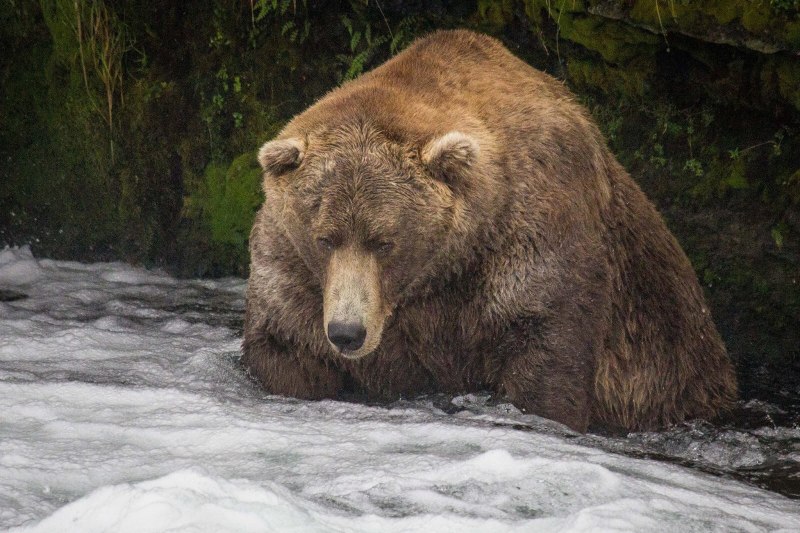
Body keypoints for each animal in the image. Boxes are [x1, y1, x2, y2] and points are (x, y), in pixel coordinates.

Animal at [242, 29, 737, 432]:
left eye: (385, 241)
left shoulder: (532, 233)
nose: (348, 332)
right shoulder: (292, 269)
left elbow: (547, 353)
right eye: (324, 237)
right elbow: (284, 343)